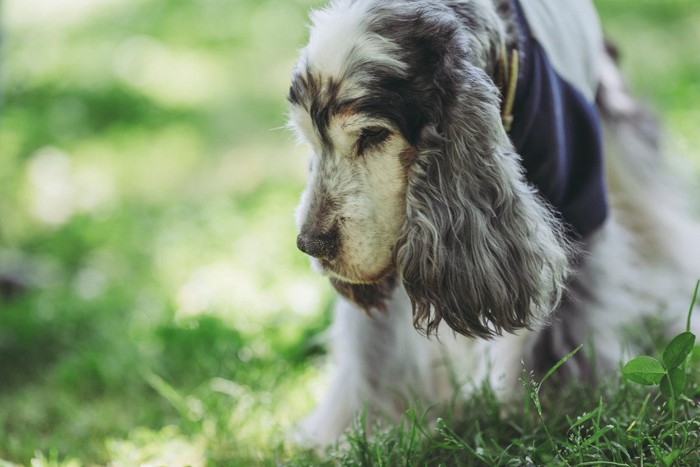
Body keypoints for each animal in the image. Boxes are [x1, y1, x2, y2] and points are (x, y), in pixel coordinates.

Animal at [286, 0, 700, 446]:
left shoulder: (578, 200)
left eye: (373, 135)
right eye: (309, 140)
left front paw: (561, 406)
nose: (310, 244)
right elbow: (375, 346)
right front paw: (359, 430)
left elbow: (564, 326)